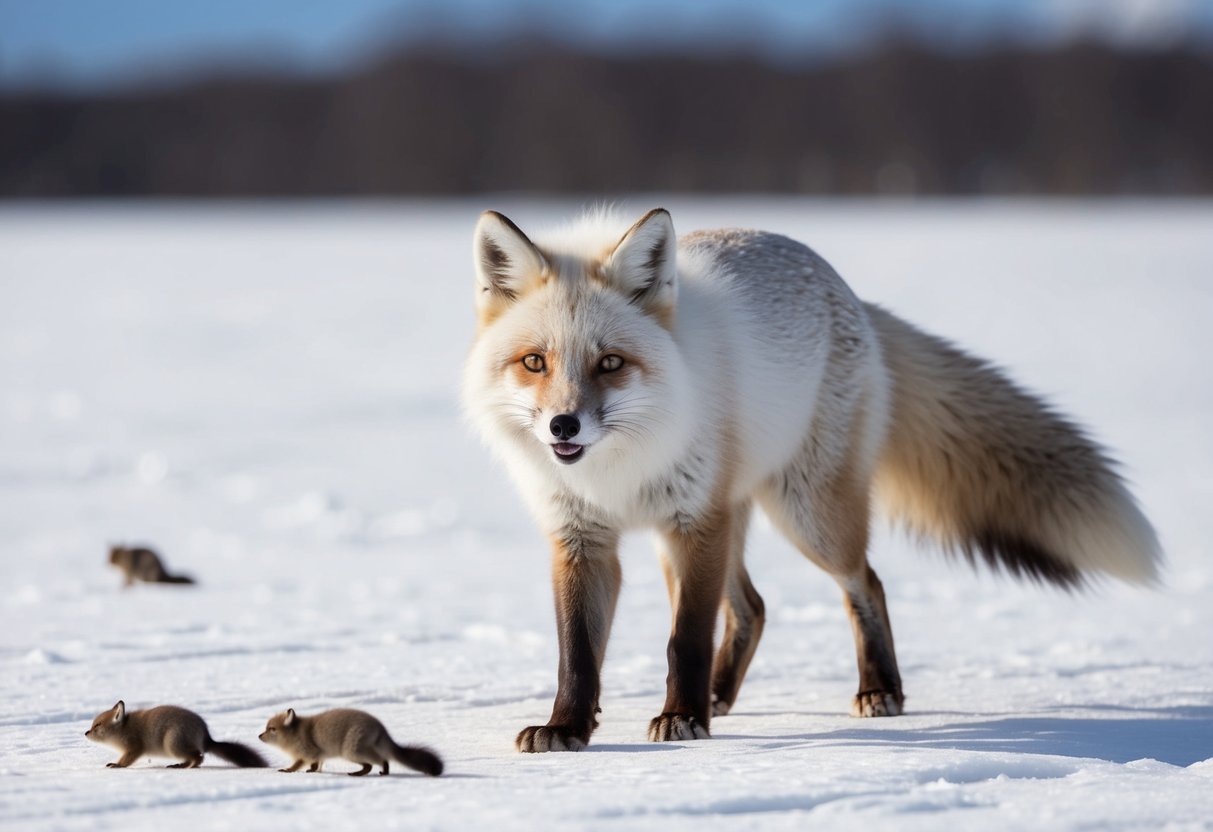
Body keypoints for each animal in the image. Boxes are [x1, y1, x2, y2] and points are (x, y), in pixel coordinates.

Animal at [461, 207, 1162, 753]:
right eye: (534, 362)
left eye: (610, 363)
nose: (564, 426)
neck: (617, 470)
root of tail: (847, 290)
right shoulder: (582, 536)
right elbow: (577, 652)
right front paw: (568, 729)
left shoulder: (696, 520)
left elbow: (685, 639)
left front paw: (682, 718)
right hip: (703, 533)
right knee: (753, 608)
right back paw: (720, 697)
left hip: (806, 516)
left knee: (864, 583)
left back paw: (877, 689)